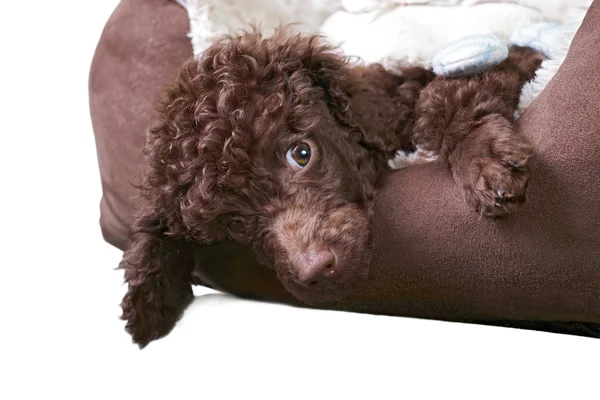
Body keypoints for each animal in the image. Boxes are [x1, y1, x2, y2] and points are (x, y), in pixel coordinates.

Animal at [119, 28, 540, 346]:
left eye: (302, 153)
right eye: (235, 224)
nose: (315, 271)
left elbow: (445, 96)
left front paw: (484, 157)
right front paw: (148, 294)